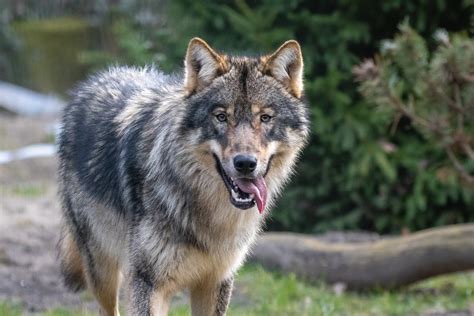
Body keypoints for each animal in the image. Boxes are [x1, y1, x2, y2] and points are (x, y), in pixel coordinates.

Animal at [57, 38, 310, 314]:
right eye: (221, 117)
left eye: (265, 118)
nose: (245, 163)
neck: (211, 219)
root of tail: (98, 78)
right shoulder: (149, 283)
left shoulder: (215, 281)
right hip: (102, 272)